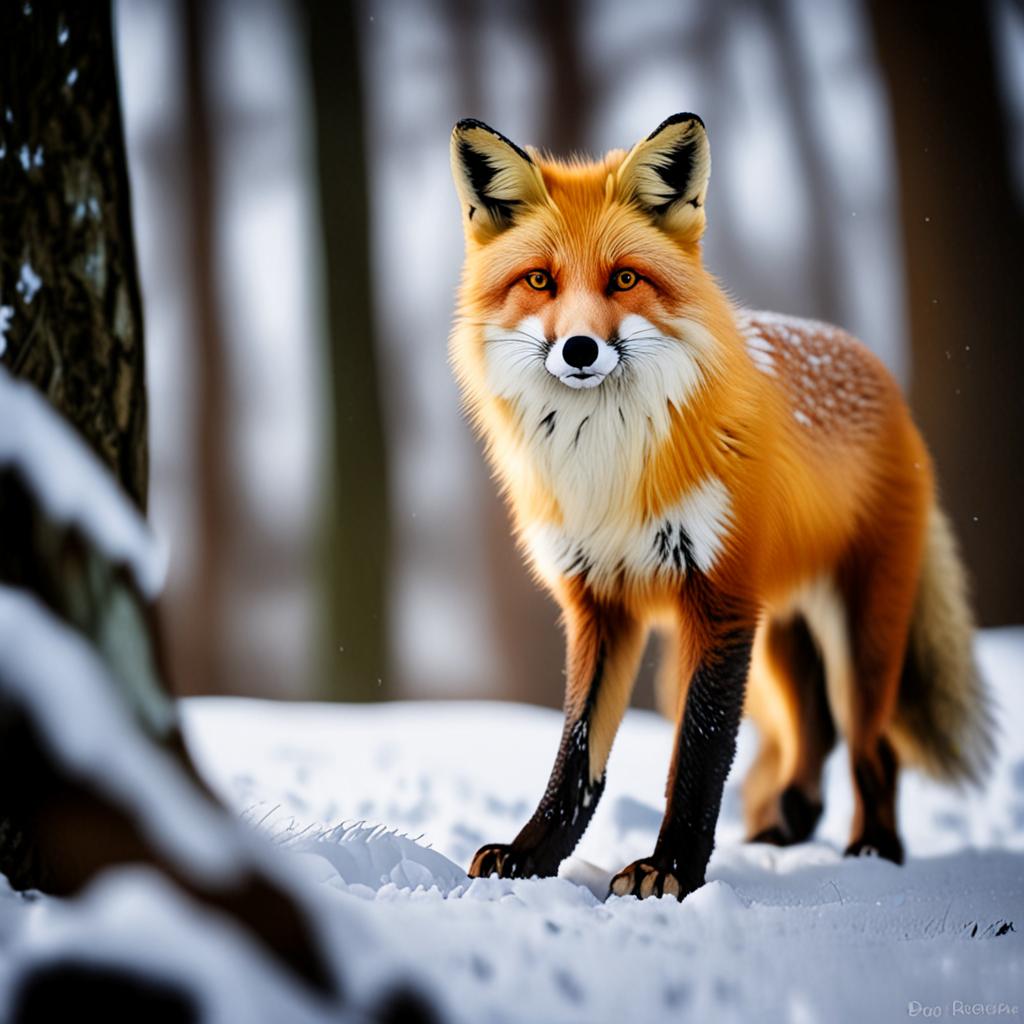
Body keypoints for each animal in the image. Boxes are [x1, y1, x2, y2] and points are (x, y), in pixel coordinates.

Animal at [448, 113, 993, 900]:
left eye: (625, 278)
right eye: (540, 280)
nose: (579, 349)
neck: (607, 469)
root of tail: (876, 368)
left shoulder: (720, 599)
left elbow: (699, 754)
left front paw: (669, 870)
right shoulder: (601, 605)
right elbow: (577, 758)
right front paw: (532, 858)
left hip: (857, 641)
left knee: (872, 745)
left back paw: (874, 850)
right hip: (780, 643)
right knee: (813, 740)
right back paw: (784, 831)